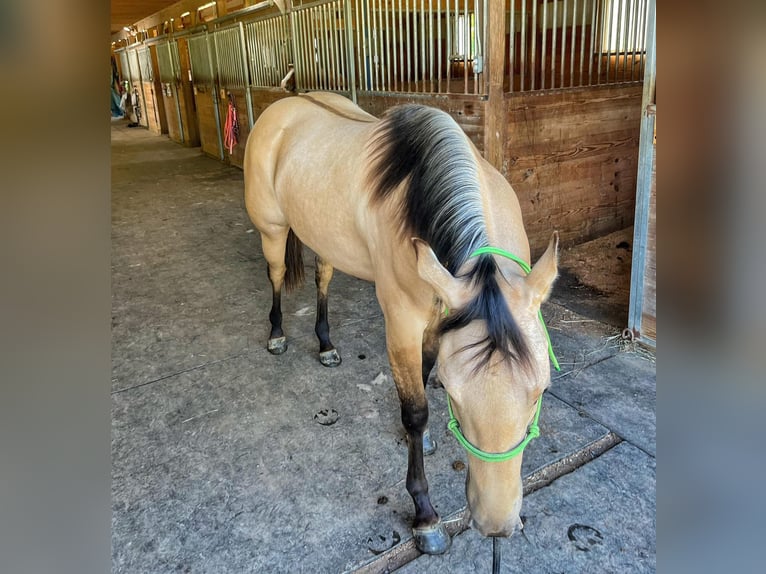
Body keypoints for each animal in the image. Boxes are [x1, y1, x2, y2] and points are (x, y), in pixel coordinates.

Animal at [243, 92, 559, 555]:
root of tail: (286, 102)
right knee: (278, 274)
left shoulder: (436, 318)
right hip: (272, 231)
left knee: (322, 277)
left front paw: (423, 441)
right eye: (455, 396)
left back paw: (325, 345)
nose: (496, 525)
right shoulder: (402, 322)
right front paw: (426, 517)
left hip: (324, 241)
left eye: (540, 392)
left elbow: (423, 378)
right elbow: (415, 409)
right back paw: (278, 335)